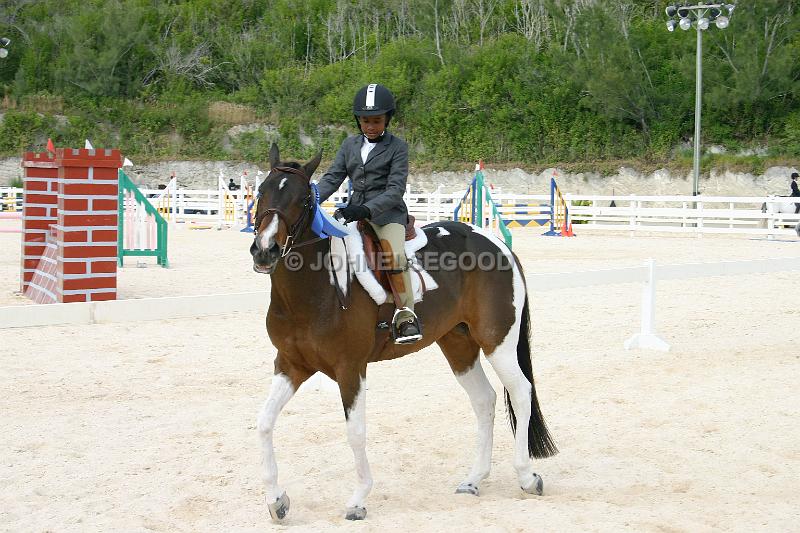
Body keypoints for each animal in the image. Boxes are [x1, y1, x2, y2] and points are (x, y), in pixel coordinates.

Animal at [250, 144, 556, 520]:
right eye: (261, 192)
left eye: (303, 199)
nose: (264, 250)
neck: (313, 290)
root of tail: (497, 243)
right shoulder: (291, 365)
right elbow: (264, 423)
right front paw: (276, 500)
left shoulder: (350, 369)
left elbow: (356, 432)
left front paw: (358, 500)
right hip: (458, 345)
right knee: (485, 399)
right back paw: (473, 479)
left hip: (498, 342)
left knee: (521, 392)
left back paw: (527, 477)